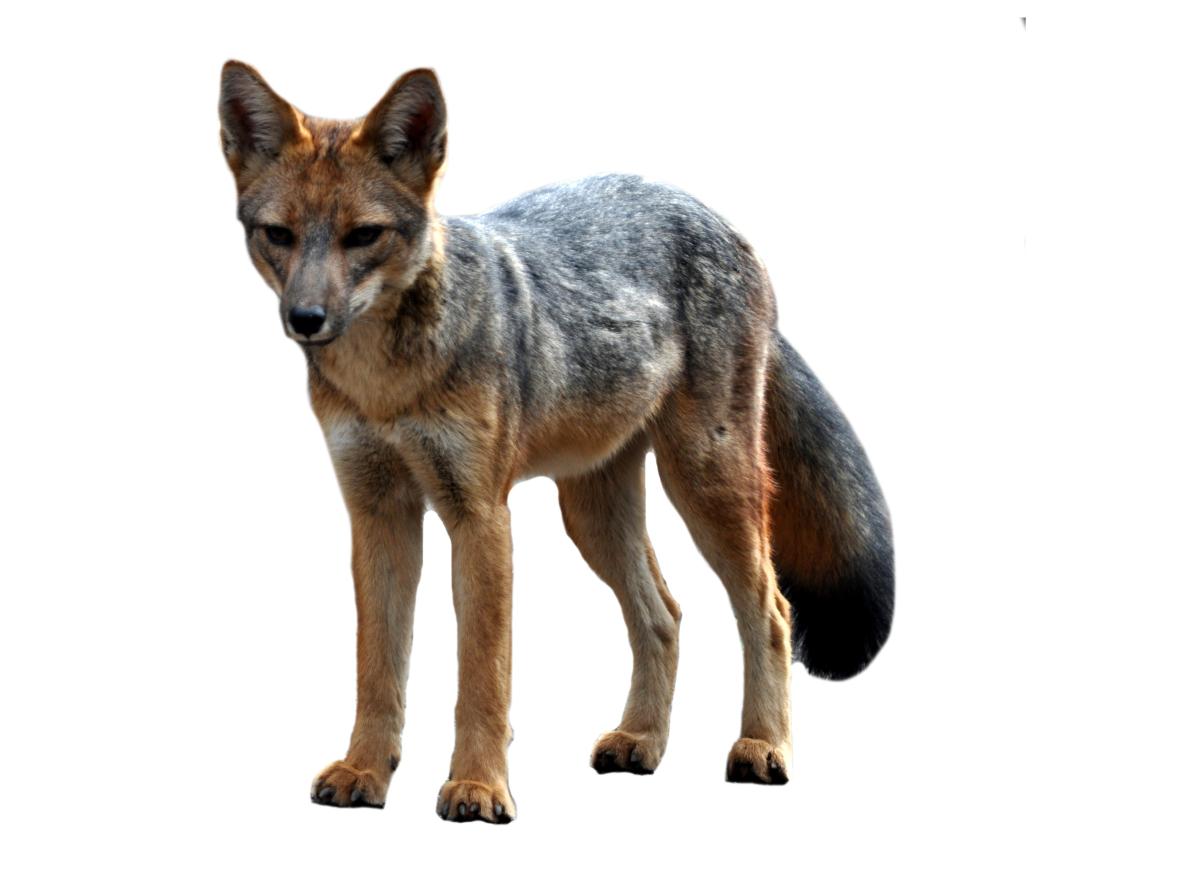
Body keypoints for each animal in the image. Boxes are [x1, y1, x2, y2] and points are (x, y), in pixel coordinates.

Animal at [219, 60, 894, 824]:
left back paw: (762, 745)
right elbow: (377, 672)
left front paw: (479, 787)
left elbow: (482, 678)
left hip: (706, 484)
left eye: (364, 236)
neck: (385, 386)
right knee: (664, 615)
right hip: (593, 516)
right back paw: (641, 740)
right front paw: (366, 770)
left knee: (771, 610)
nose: (306, 318)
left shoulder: (480, 517)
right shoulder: (378, 516)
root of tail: (708, 211)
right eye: (278, 234)